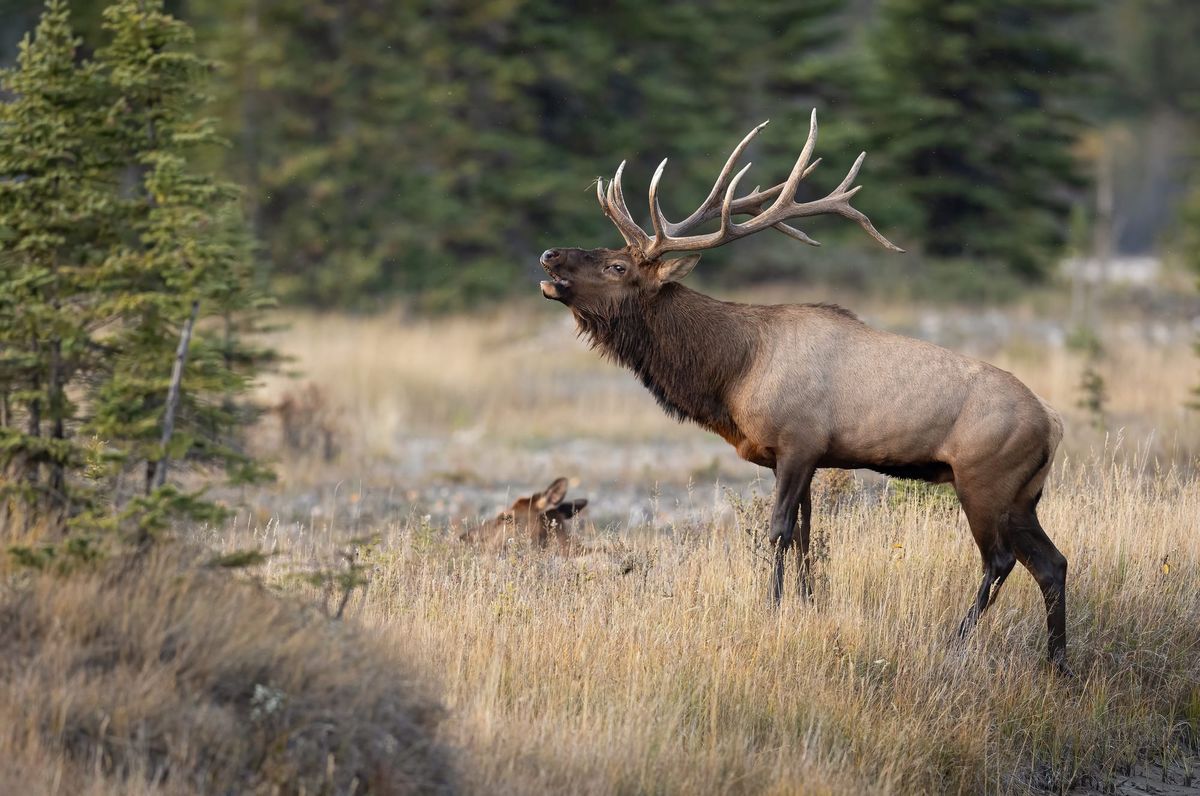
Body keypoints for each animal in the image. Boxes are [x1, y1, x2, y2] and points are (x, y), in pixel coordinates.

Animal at [538, 111, 1069, 673]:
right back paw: (1057, 660)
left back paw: (958, 640)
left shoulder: (799, 442)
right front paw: (809, 605)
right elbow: (807, 538)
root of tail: (1054, 423)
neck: (734, 372)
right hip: (1023, 495)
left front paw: (771, 609)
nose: (550, 254)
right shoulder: (801, 456)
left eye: (617, 266)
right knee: (1052, 562)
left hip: (984, 479)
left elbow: (778, 532)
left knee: (1002, 559)